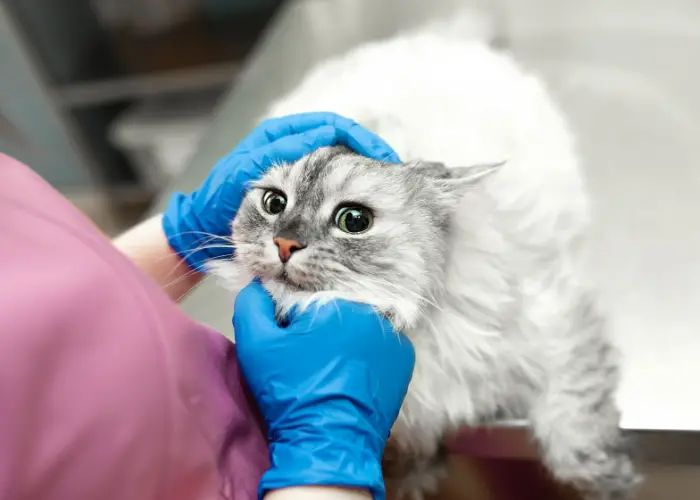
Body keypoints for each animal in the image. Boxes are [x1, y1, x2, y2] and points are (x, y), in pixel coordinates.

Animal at [211, 21, 644, 498]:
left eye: (353, 220)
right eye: (274, 203)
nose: (285, 243)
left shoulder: (559, 330)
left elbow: (574, 436)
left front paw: (614, 483)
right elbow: (403, 463)